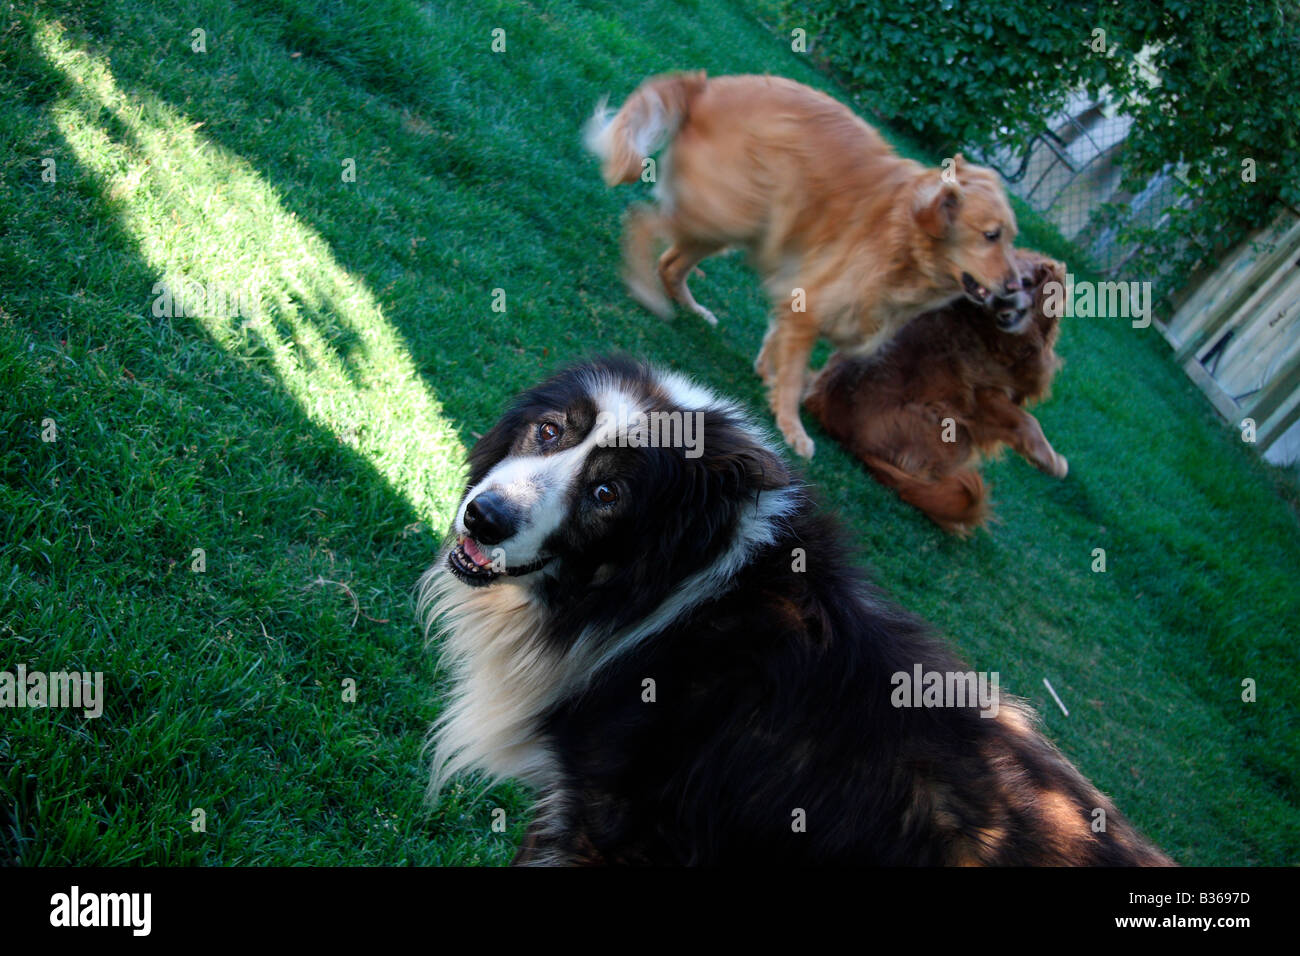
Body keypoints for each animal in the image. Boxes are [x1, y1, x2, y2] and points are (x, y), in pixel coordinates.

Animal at [806, 251, 1071, 535]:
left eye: (1026, 281)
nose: (1000, 297)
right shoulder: (984, 395)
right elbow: (1027, 422)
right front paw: (1051, 461)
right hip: (950, 427)